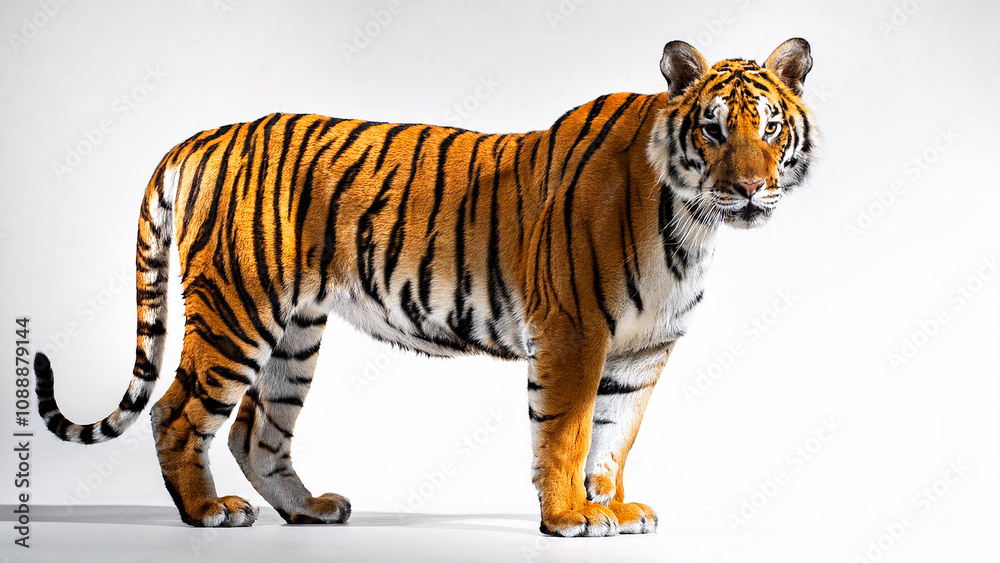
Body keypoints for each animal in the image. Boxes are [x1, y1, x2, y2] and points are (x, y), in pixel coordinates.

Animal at [33, 38, 817, 536]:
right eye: (713, 130)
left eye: (770, 129)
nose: (751, 188)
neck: (691, 223)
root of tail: (203, 136)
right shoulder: (574, 331)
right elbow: (565, 433)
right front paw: (568, 517)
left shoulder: (642, 350)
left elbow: (613, 438)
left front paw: (614, 509)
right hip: (236, 311)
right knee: (177, 412)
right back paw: (207, 513)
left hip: (295, 334)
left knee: (257, 431)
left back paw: (310, 509)